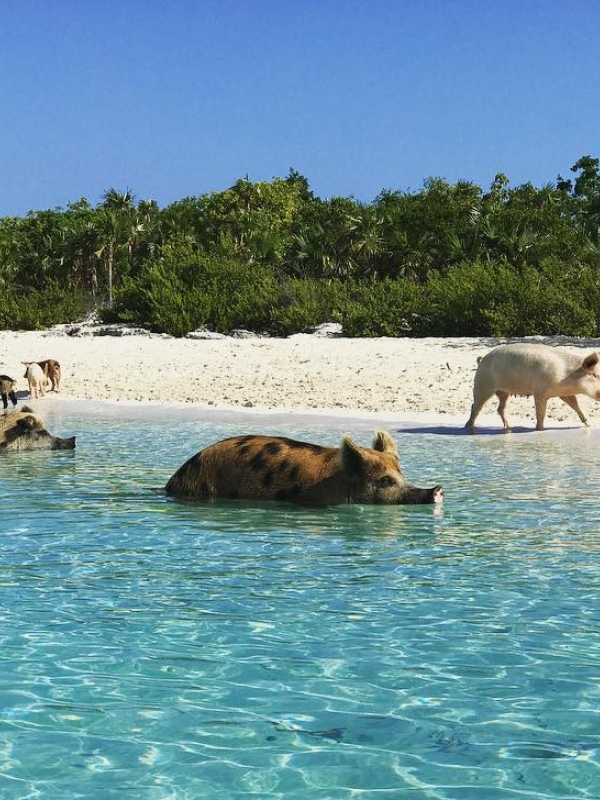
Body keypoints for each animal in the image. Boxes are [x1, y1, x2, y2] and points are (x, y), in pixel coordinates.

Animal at [466, 342, 600, 432]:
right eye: (596, 375)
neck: (567, 376)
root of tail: (482, 360)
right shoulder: (540, 391)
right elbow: (541, 412)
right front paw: (540, 430)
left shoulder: (564, 393)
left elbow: (576, 405)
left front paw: (589, 424)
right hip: (483, 384)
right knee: (476, 406)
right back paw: (468, 427)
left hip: (503, 391)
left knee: (500, 408)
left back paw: (509, 428)